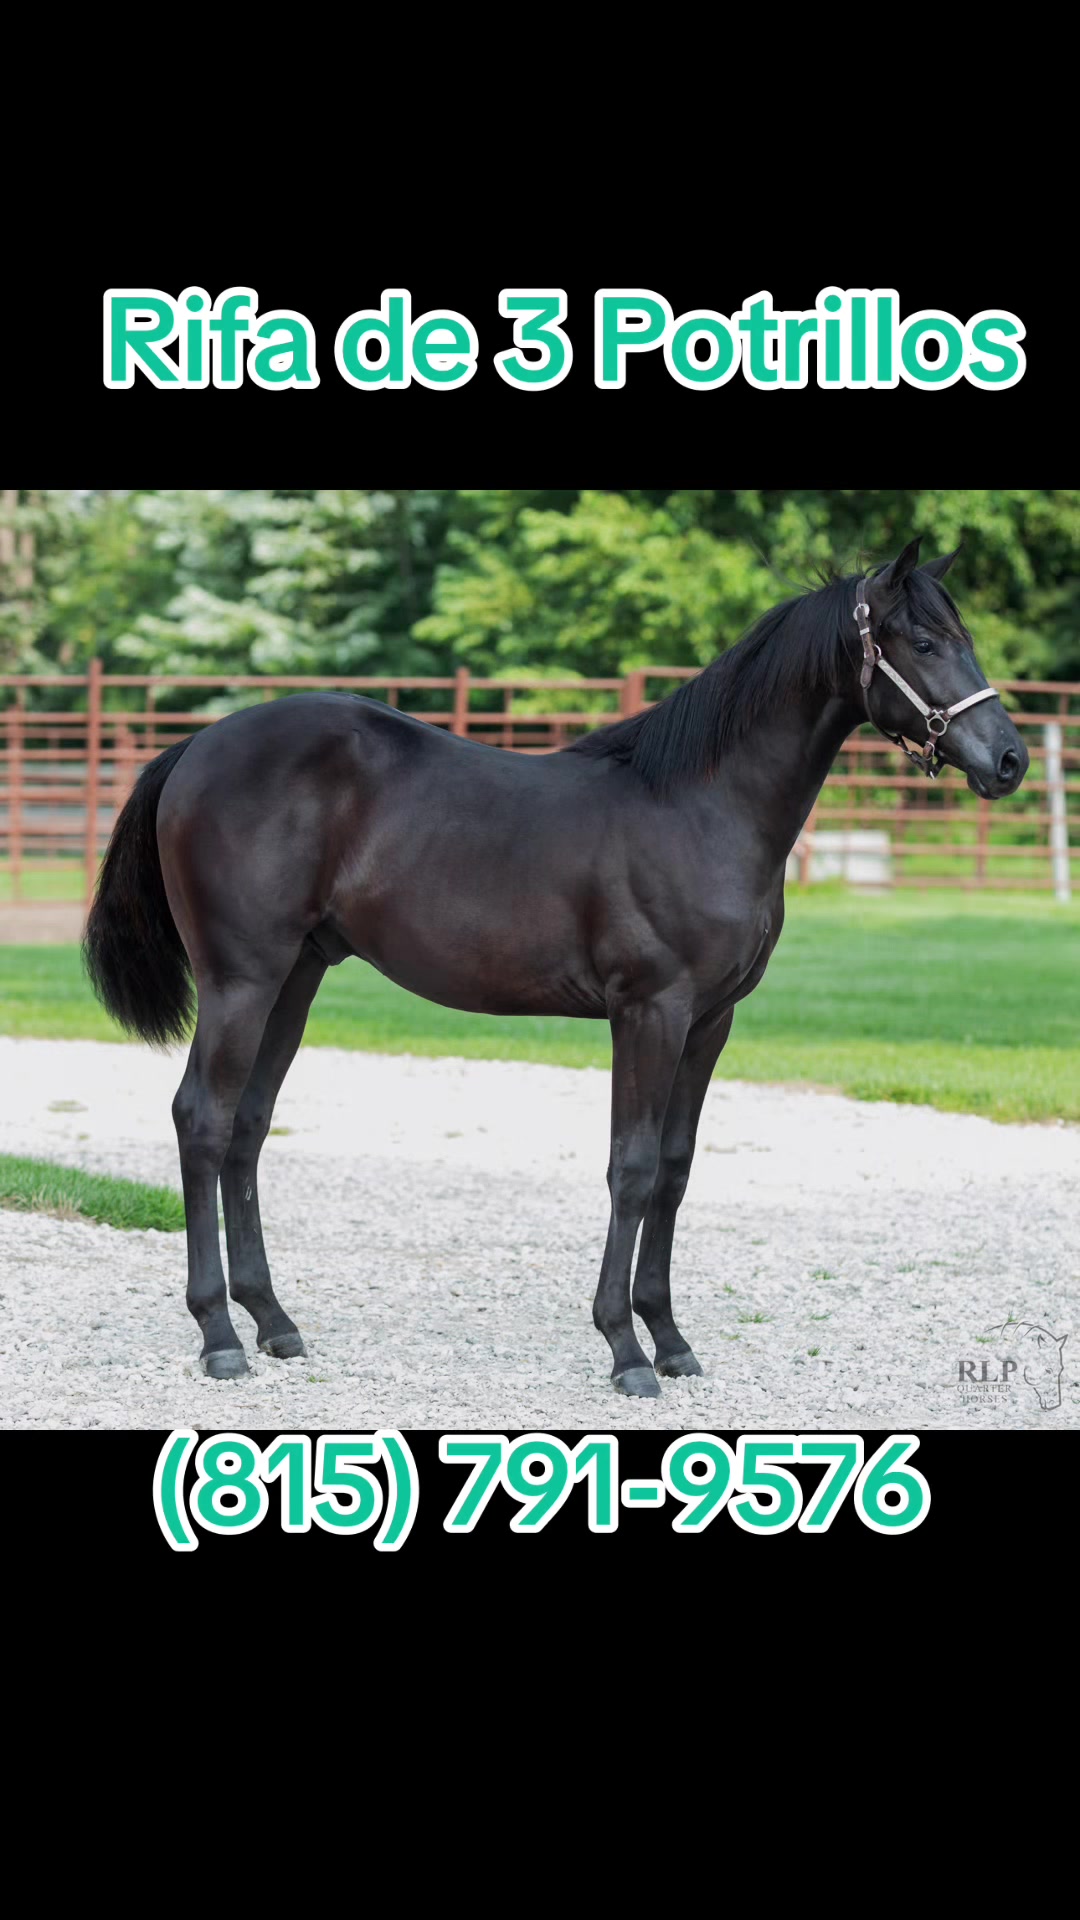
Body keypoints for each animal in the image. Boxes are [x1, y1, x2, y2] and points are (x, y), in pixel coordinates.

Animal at [83, 537, 1029, 1397]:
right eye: (923, 641)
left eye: (961, 635)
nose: (1010, 760)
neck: (701, 806)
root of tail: (196, 747)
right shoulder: (650, 1011)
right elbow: (632, 1168)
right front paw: (625, 1349)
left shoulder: (710, 1022)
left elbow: (675, 1170)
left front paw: (671, 1339)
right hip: (241, 980)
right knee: (204, 1120)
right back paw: (218, 1335)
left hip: (295, 979)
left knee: (246, 1129)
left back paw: (273, 1321)